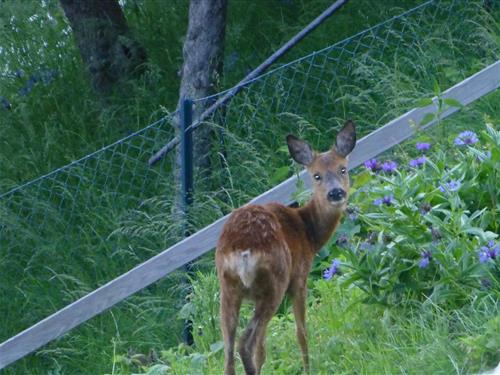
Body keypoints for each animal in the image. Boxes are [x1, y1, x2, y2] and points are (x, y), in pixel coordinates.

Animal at [215, 122, 356, 374]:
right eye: (316, 175)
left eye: (343, 169)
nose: (336, 193)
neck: (307, 231)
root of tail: (241, 250)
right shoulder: (299, 277)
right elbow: (301, 332)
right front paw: (308, 369)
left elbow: (263, 349)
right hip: (274, 283)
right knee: (246, 342)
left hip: (228, 288)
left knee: (229, 352)